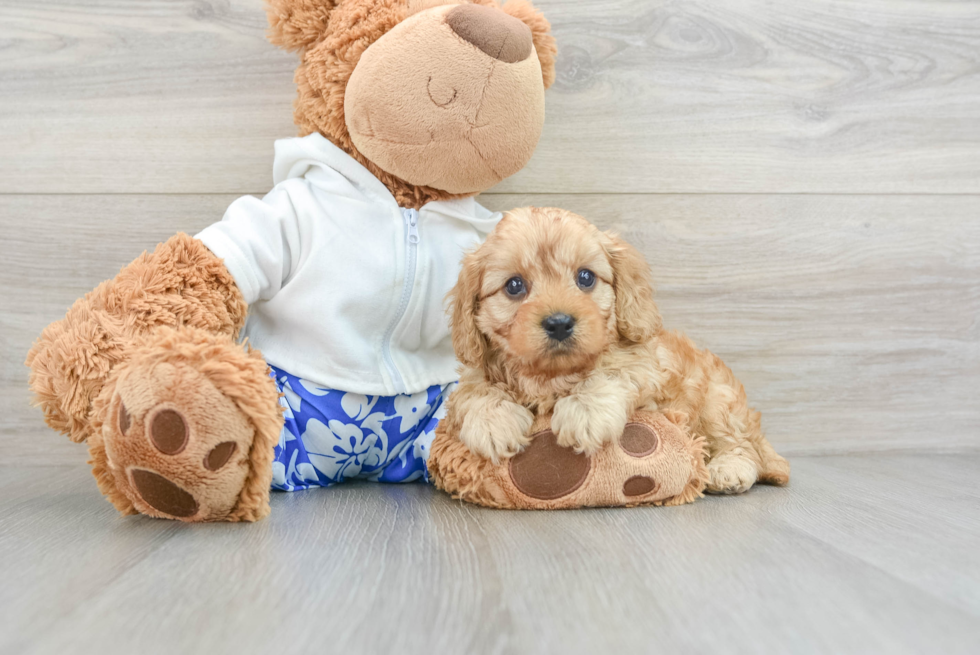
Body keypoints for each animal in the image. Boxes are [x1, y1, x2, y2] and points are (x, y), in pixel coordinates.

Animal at [444, 208, 788, 494]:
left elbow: (613, 371)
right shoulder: (474, 371)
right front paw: (493, 422)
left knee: (741, 444)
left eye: (585, 277)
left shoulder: (647, 365)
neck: (551, 375)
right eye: (514, 286)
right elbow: (474, 390)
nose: (559, 323)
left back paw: (729, 470)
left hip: (717, 403)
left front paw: (584, 411)